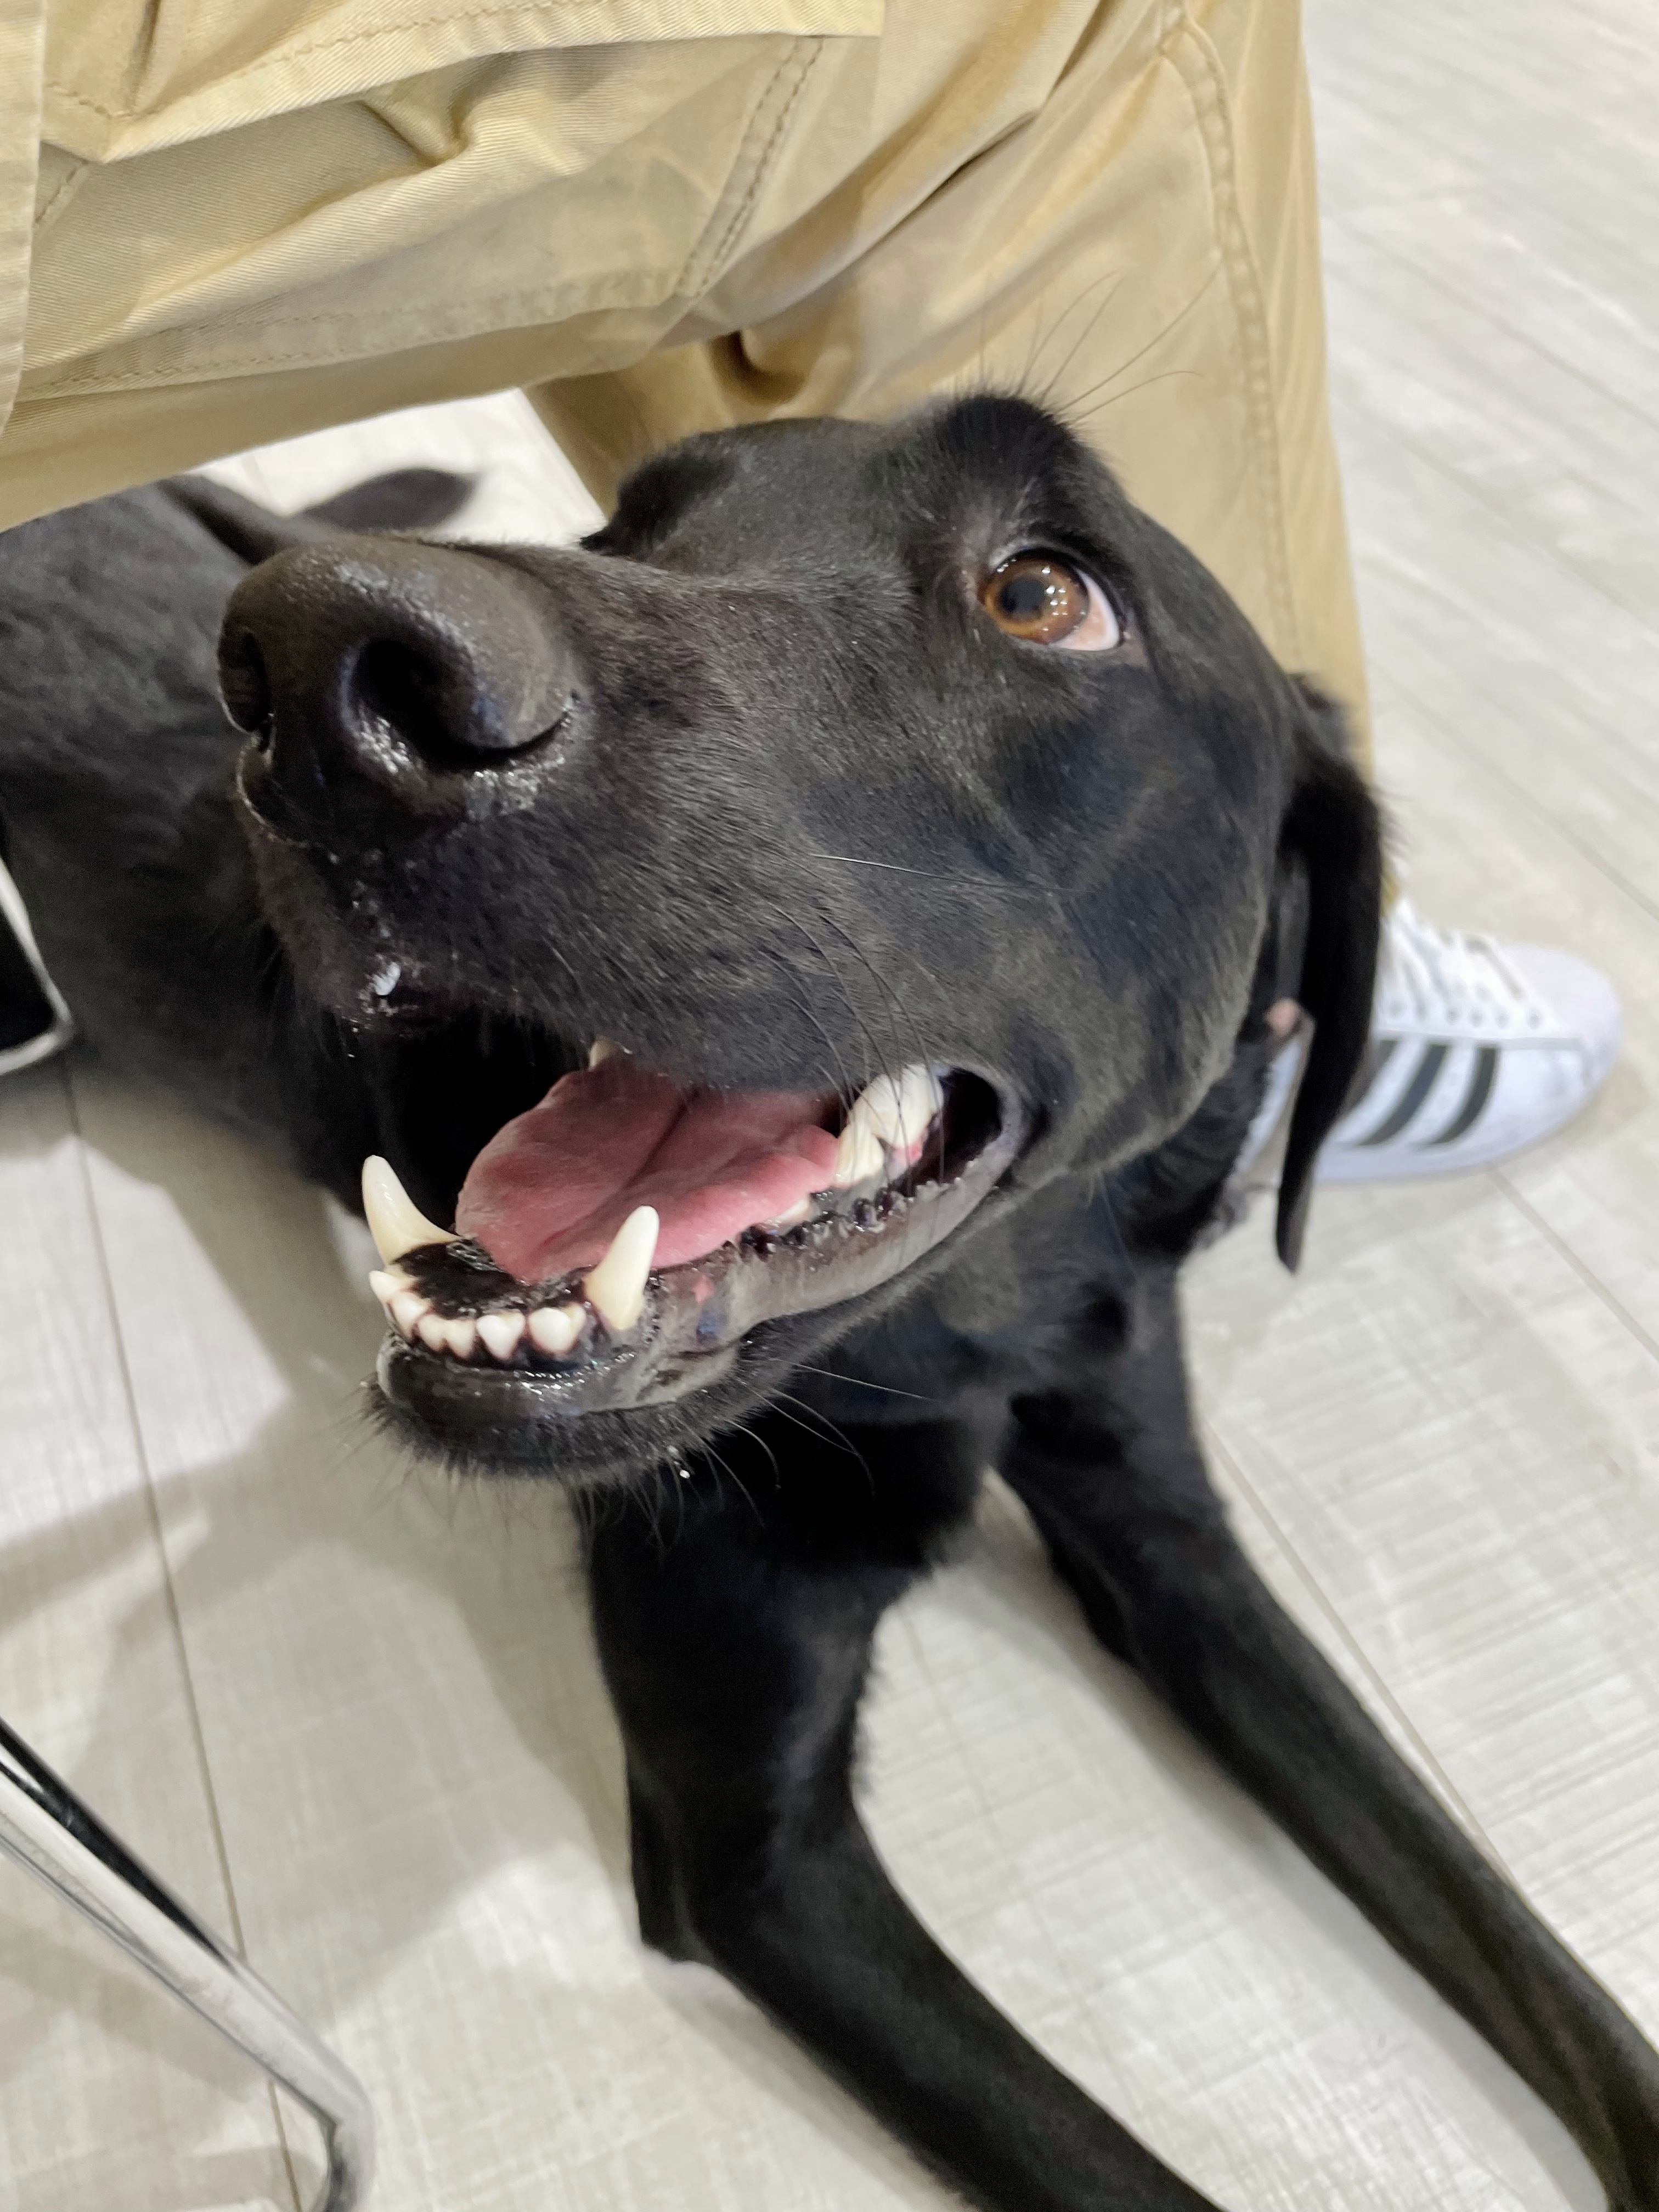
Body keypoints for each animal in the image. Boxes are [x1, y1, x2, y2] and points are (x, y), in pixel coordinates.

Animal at [3, 398, 1655, 2211]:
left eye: (1042, 595)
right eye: (628, 531)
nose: (317, 672)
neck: (964, 1349)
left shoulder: (1175, 1538)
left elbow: (1523, 1949)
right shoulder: (764, 1861)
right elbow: (1113, 2170)